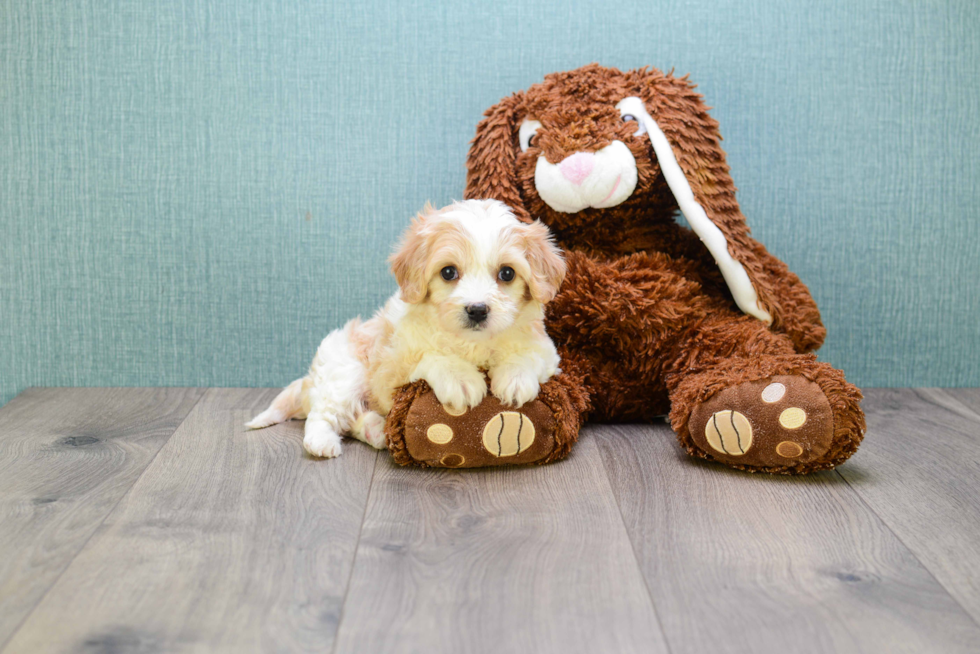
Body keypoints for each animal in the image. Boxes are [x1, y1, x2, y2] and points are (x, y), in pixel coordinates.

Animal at [245, 200, 568, 462]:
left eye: (507, 273)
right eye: (448, 272)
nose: (477, 309)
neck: (472, 344)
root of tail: (310, 380)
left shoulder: (548, 351)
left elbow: (528, 355)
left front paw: (515, 379)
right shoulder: (389, 370)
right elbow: (430, 357)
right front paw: (461, 379)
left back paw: (376, 430)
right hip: (344, 372)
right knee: (325, 414)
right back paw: (323, 442)